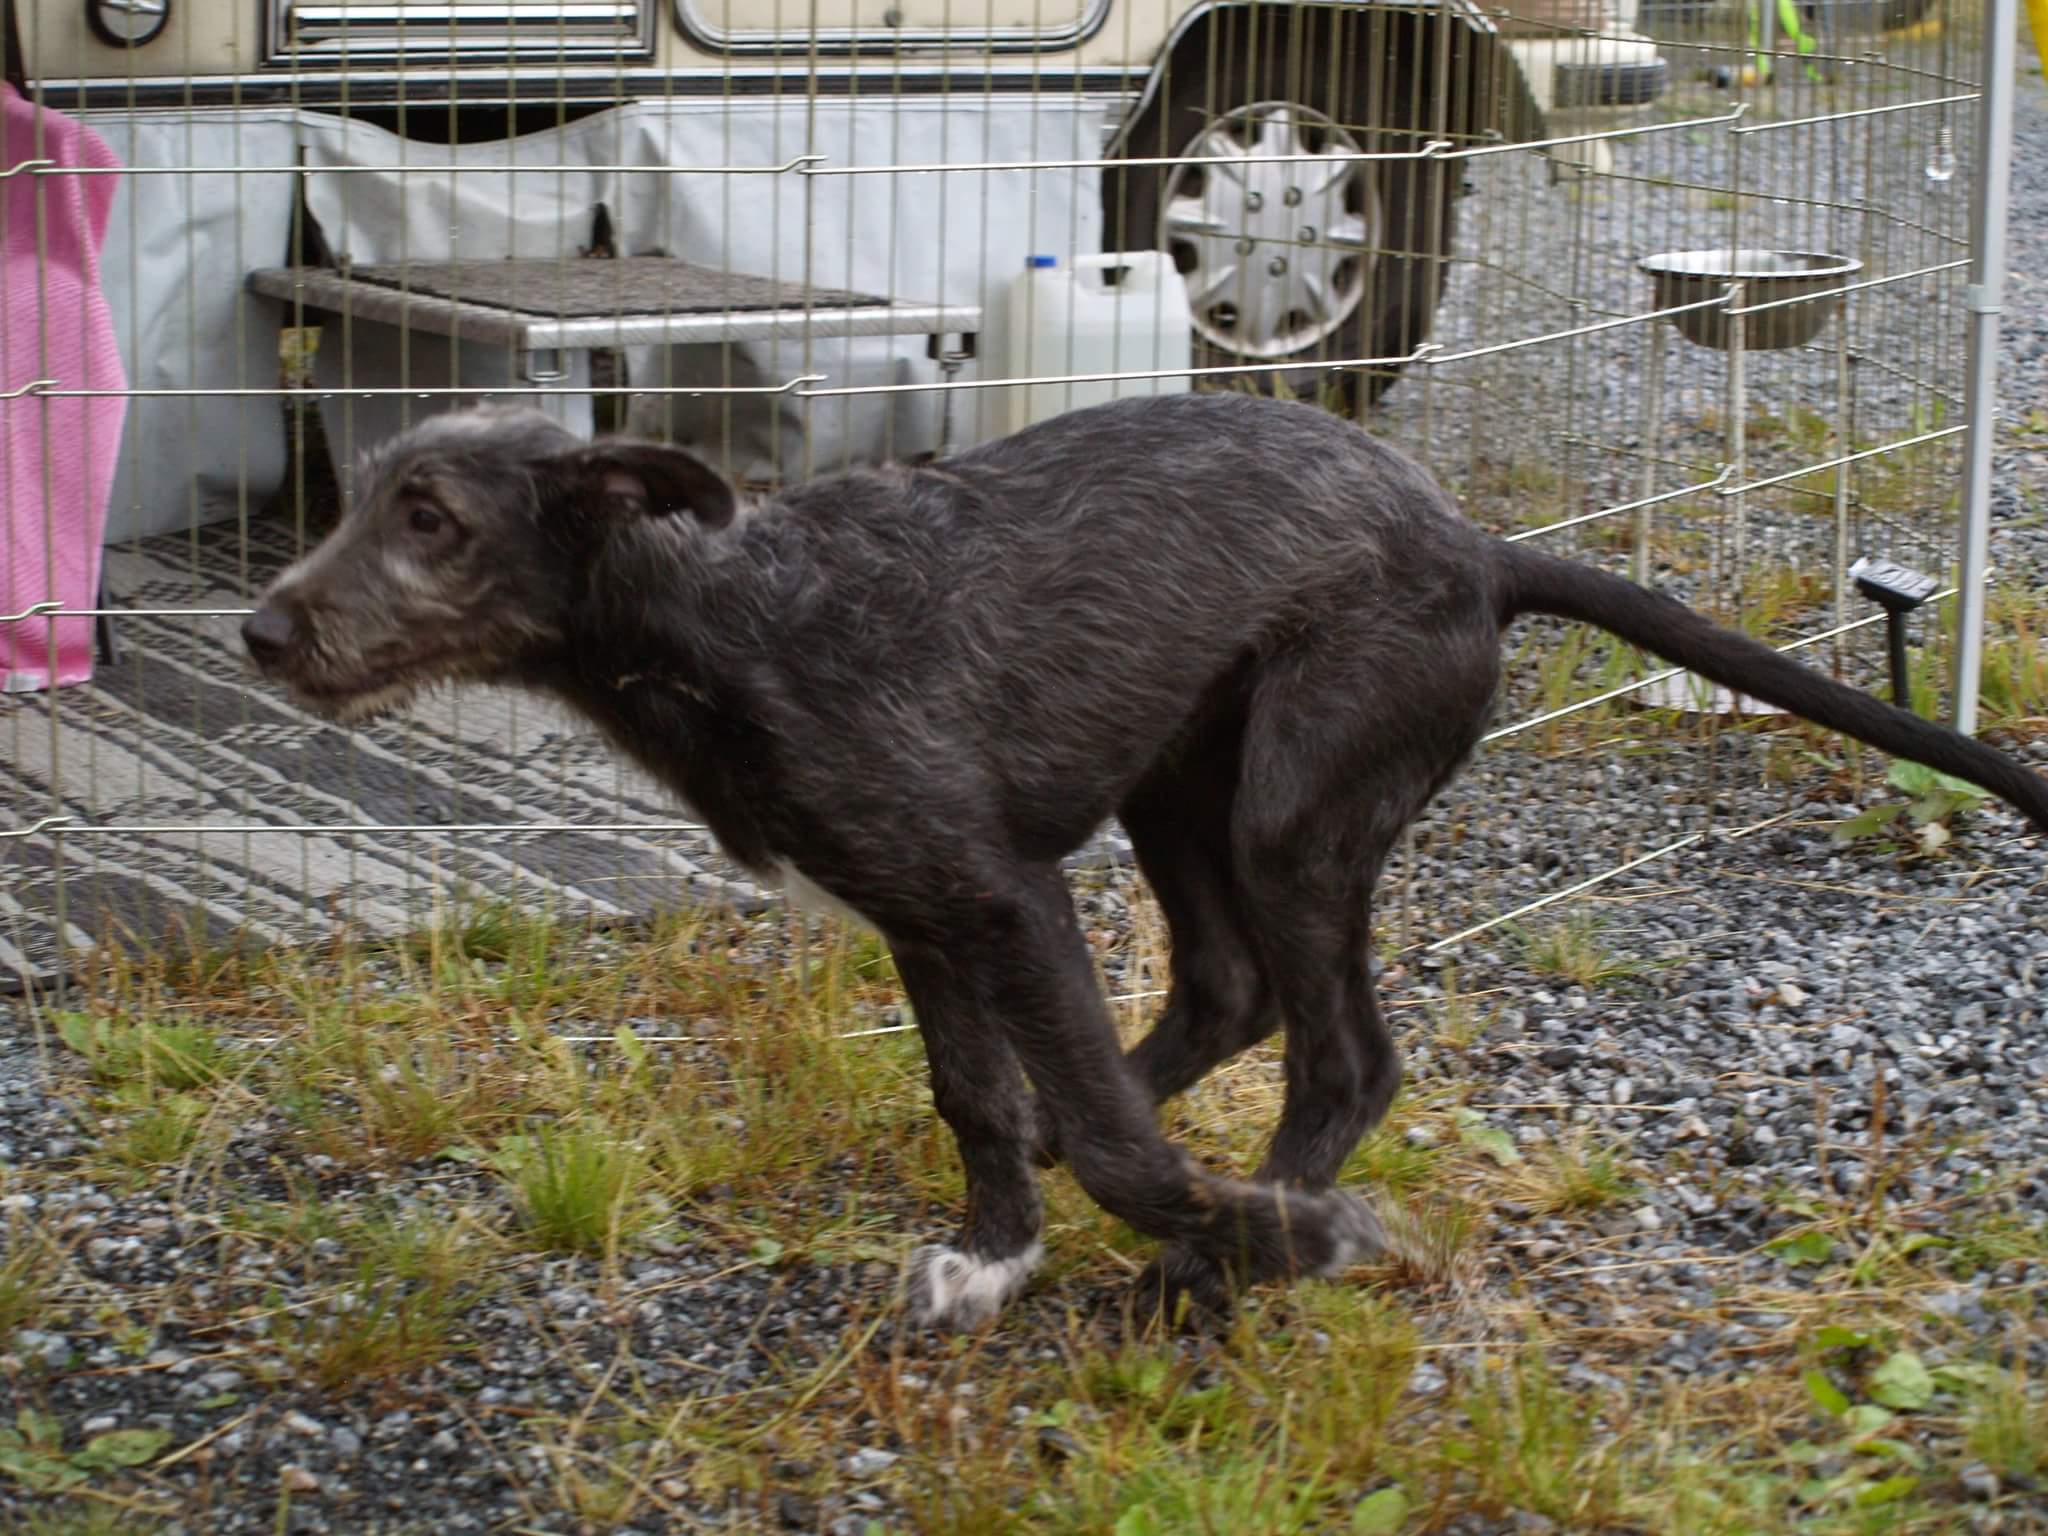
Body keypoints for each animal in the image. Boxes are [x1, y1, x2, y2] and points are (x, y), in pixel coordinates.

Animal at [242, 392, 2048, 1330]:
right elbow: (979, 1100)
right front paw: (999, 1243)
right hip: (1181, 782)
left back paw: (1262, 1239)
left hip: (1296, 803)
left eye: (429, 517)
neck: (723, 623)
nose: (260, 633)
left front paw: (1256, 1231)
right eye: (354, 497)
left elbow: (1118, 1148)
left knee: (1341, 1051)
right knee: (1229, 993)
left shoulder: (997, 893)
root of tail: (1476, 548)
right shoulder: (920, 919)